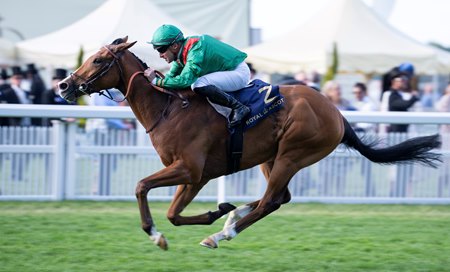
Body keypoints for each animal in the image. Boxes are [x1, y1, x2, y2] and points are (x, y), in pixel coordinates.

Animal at [58, 36, 442, 251]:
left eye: (98, 59)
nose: (64, 85)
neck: (168, 107)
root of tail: (335, 112)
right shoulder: (197, 176)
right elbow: (174, 214)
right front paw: (213, 212)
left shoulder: (190, 169)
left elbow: (142, 188)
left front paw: (157, 234)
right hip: (269, 157)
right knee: (280, 198)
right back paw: (231, 216)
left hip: (293, 153)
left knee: (272, 200)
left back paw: (221, 235)